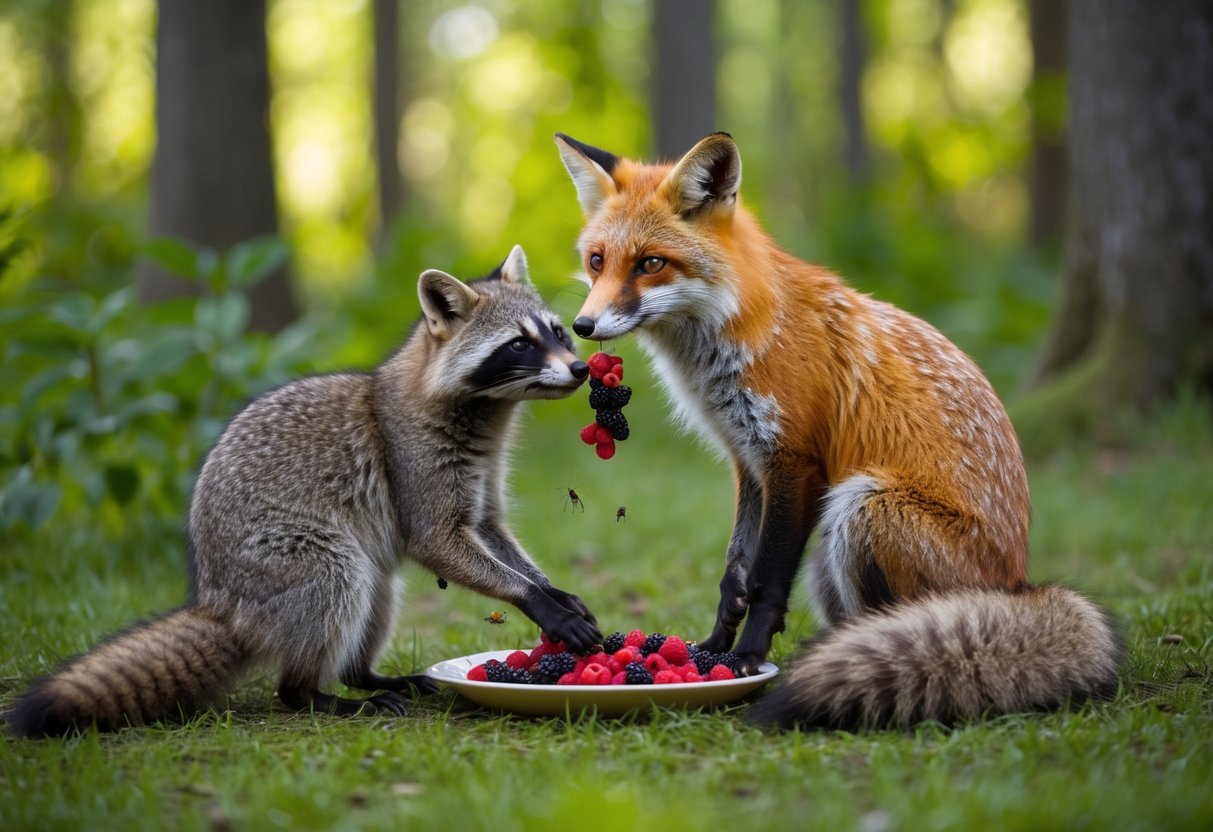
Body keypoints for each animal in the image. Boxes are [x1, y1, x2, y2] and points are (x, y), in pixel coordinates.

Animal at [7, 245, 602, 738]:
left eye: (558, 332)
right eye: (519, 343)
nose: (579, 368)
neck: (488, 413)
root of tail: (217, 600)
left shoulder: (481, 478)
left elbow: (490, 532)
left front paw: (547, 589)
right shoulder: (413, 464)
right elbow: (437, 540)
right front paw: (531, 599)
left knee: (376, 592)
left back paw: (363, 674)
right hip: (287, 558)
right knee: (337, 583)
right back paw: (314, 694)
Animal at [555, 132, 1123, 729]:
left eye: (651, 263)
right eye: (597, 261)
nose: (582, 326)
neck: (737, 328)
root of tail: (1017, 583)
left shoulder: (796, 460)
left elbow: (765, 579)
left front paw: (745, 659)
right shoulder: (747, 459)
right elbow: (735, 571)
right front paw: (709, 650)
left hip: (861, 506)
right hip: (832, 551)